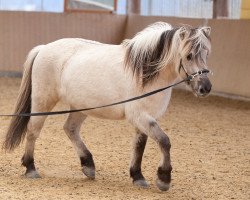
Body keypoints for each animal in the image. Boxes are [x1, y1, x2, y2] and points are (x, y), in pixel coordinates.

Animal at [3, 21, 211, 191]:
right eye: (189, 56)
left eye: (207, 54)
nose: (205, 88)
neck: (145, 72)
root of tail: (44, 48)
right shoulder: (140, 116)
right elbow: (164, 141)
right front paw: (163, 179)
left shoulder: (145, 118)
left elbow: (139, 146)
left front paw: (138, 176)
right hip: (43, 101)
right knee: (33, 131)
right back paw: (31, 168)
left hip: (81, 106)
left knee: (70, 129)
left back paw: (88, 165)